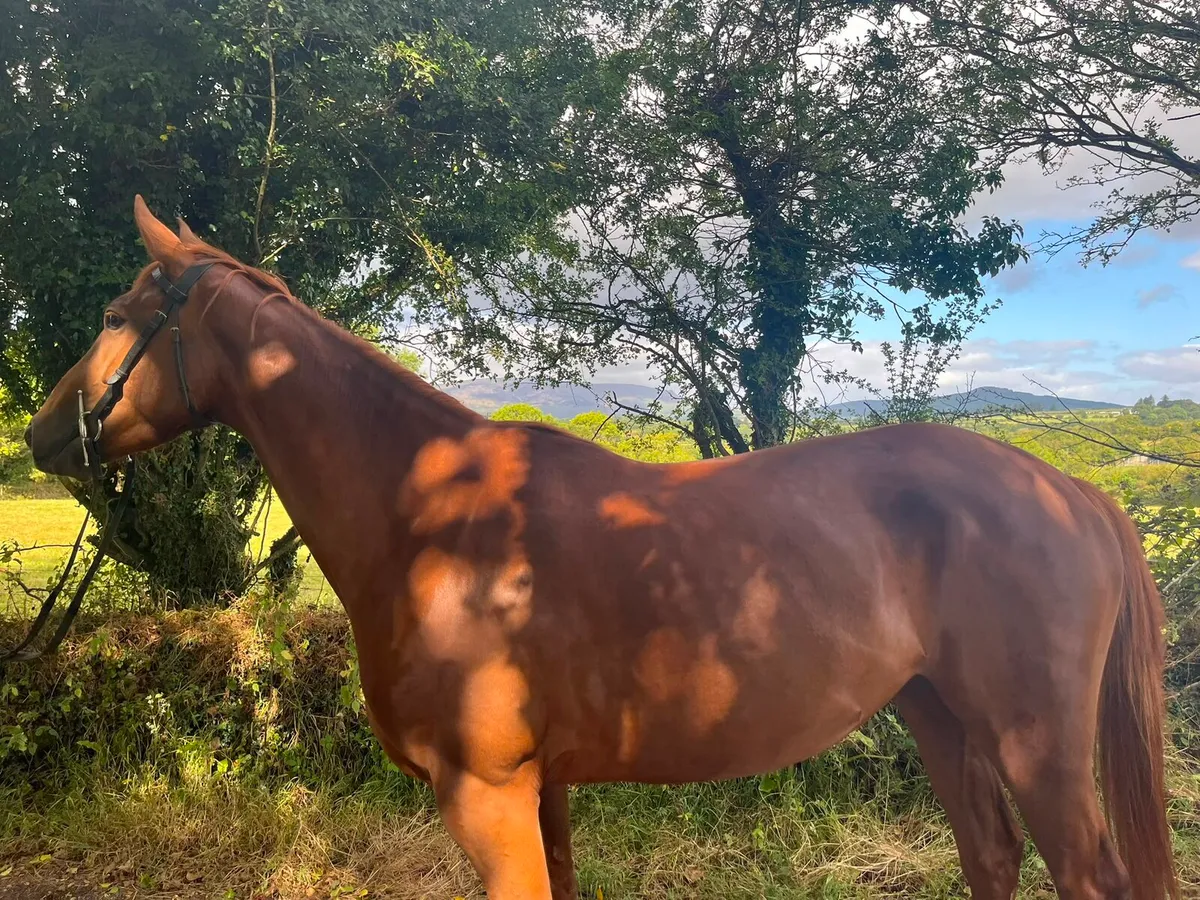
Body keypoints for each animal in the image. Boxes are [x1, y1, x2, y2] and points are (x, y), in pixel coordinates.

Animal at [23, 196, 1177, 900]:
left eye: (117, 311)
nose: (39, 436)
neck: (426, 510)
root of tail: (1071, 488)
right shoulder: (544, 793)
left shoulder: (486, 796)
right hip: (941, 716)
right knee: (993, 860)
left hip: (1036, 744)